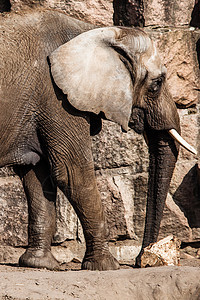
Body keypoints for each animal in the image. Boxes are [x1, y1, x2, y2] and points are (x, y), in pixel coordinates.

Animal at [0, 8, 197, 270]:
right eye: (156, 84)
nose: (141, 260)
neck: (94, 30)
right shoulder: (57, 98)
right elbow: (72, 173)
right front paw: (107, 266)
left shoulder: (41, 106)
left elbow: (37, 176)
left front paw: (40, 264)